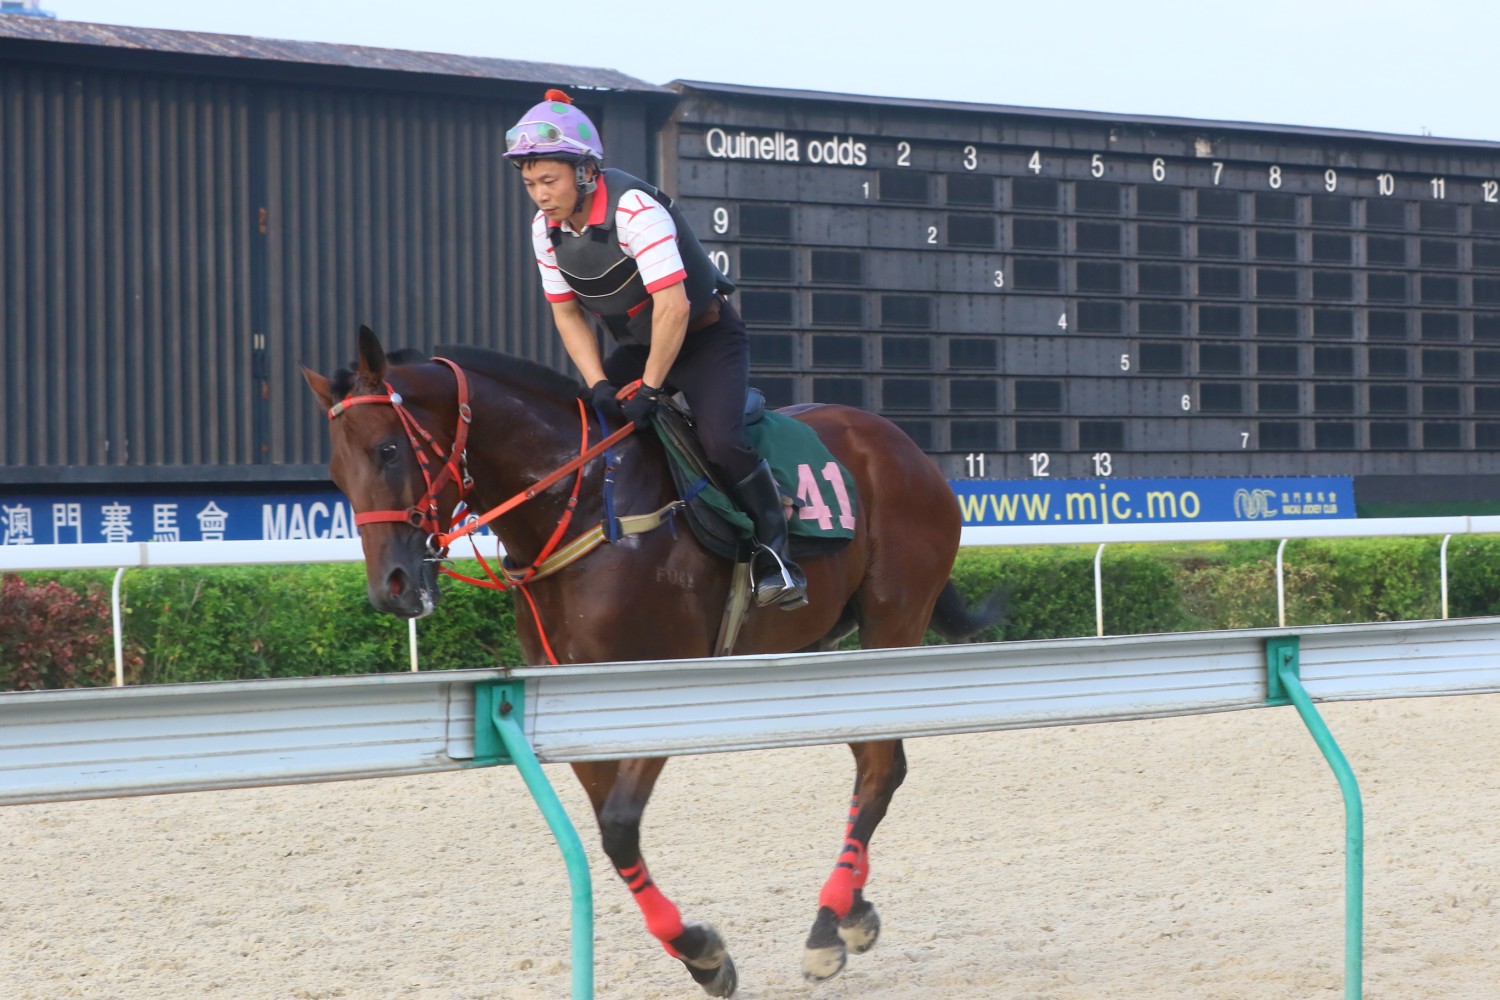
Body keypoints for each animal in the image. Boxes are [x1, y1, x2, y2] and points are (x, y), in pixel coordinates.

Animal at [301, 326, 1008, 995]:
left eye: (388, 450)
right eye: (334, 472)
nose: (391, 587)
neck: (587, 505)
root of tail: (903, 445)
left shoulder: (658, 685)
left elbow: (618, 827)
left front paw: (702, 951)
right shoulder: (577, 697)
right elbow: (610, 833)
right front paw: (700, 958)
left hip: (894, 619)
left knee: (881, 766)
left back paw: (826, 926)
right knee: (875, 763)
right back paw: (849, 915)